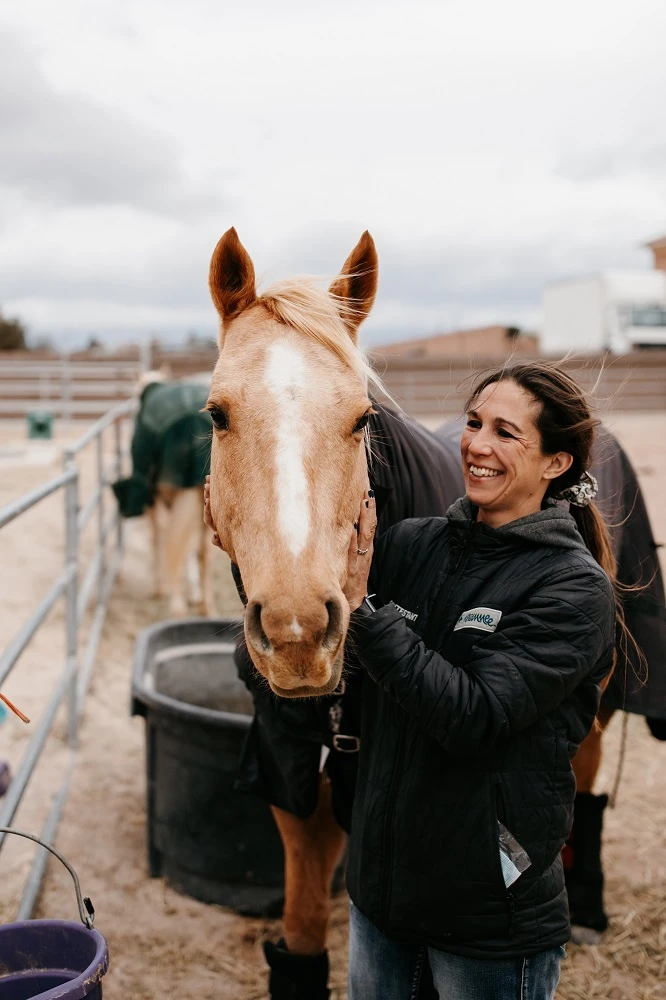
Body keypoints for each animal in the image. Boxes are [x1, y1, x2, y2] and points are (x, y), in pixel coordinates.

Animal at [112, 372, 214, 616]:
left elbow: (158, 538)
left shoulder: (155, 500)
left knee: (171, 538)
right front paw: (194, 594)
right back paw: (206, 606)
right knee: (202, 551)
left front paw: (159, 588)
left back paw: (176, 603)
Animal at [204, 229, 666, 997]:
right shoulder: (293, 770)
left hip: (600, 702)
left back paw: (589, 907)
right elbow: (303, 932)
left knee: (587, 785)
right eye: (216, 414)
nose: (299, 631)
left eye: (361, 418)